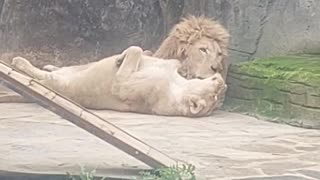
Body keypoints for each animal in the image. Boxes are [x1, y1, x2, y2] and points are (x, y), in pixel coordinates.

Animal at [11, 45, 224, 117]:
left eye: (215, 96)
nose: (224, 83)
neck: (177, 86)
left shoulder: (130, 86)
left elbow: (134, 54)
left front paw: (121, 59)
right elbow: (152, 54)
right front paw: (122, 57)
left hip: (63, 85)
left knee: (43, 77)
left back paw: (19, 62)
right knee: (66, 68)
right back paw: (49, 65)